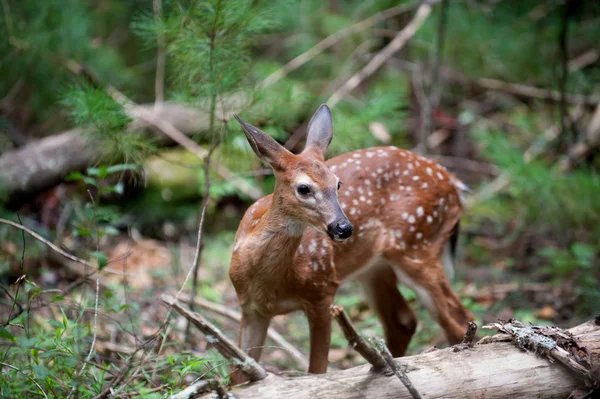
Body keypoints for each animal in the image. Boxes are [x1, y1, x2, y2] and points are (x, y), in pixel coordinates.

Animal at [230, 104, 474, 382]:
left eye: (338, 183)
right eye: (303, 188)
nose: (343, 227)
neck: (271, 283)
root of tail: (453, 182)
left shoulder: (321, 291)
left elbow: (317, 371)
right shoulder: (251, 309)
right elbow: (239, 377)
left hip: (416, 246)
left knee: (457, 319)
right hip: (374, 266)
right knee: (403, 321)